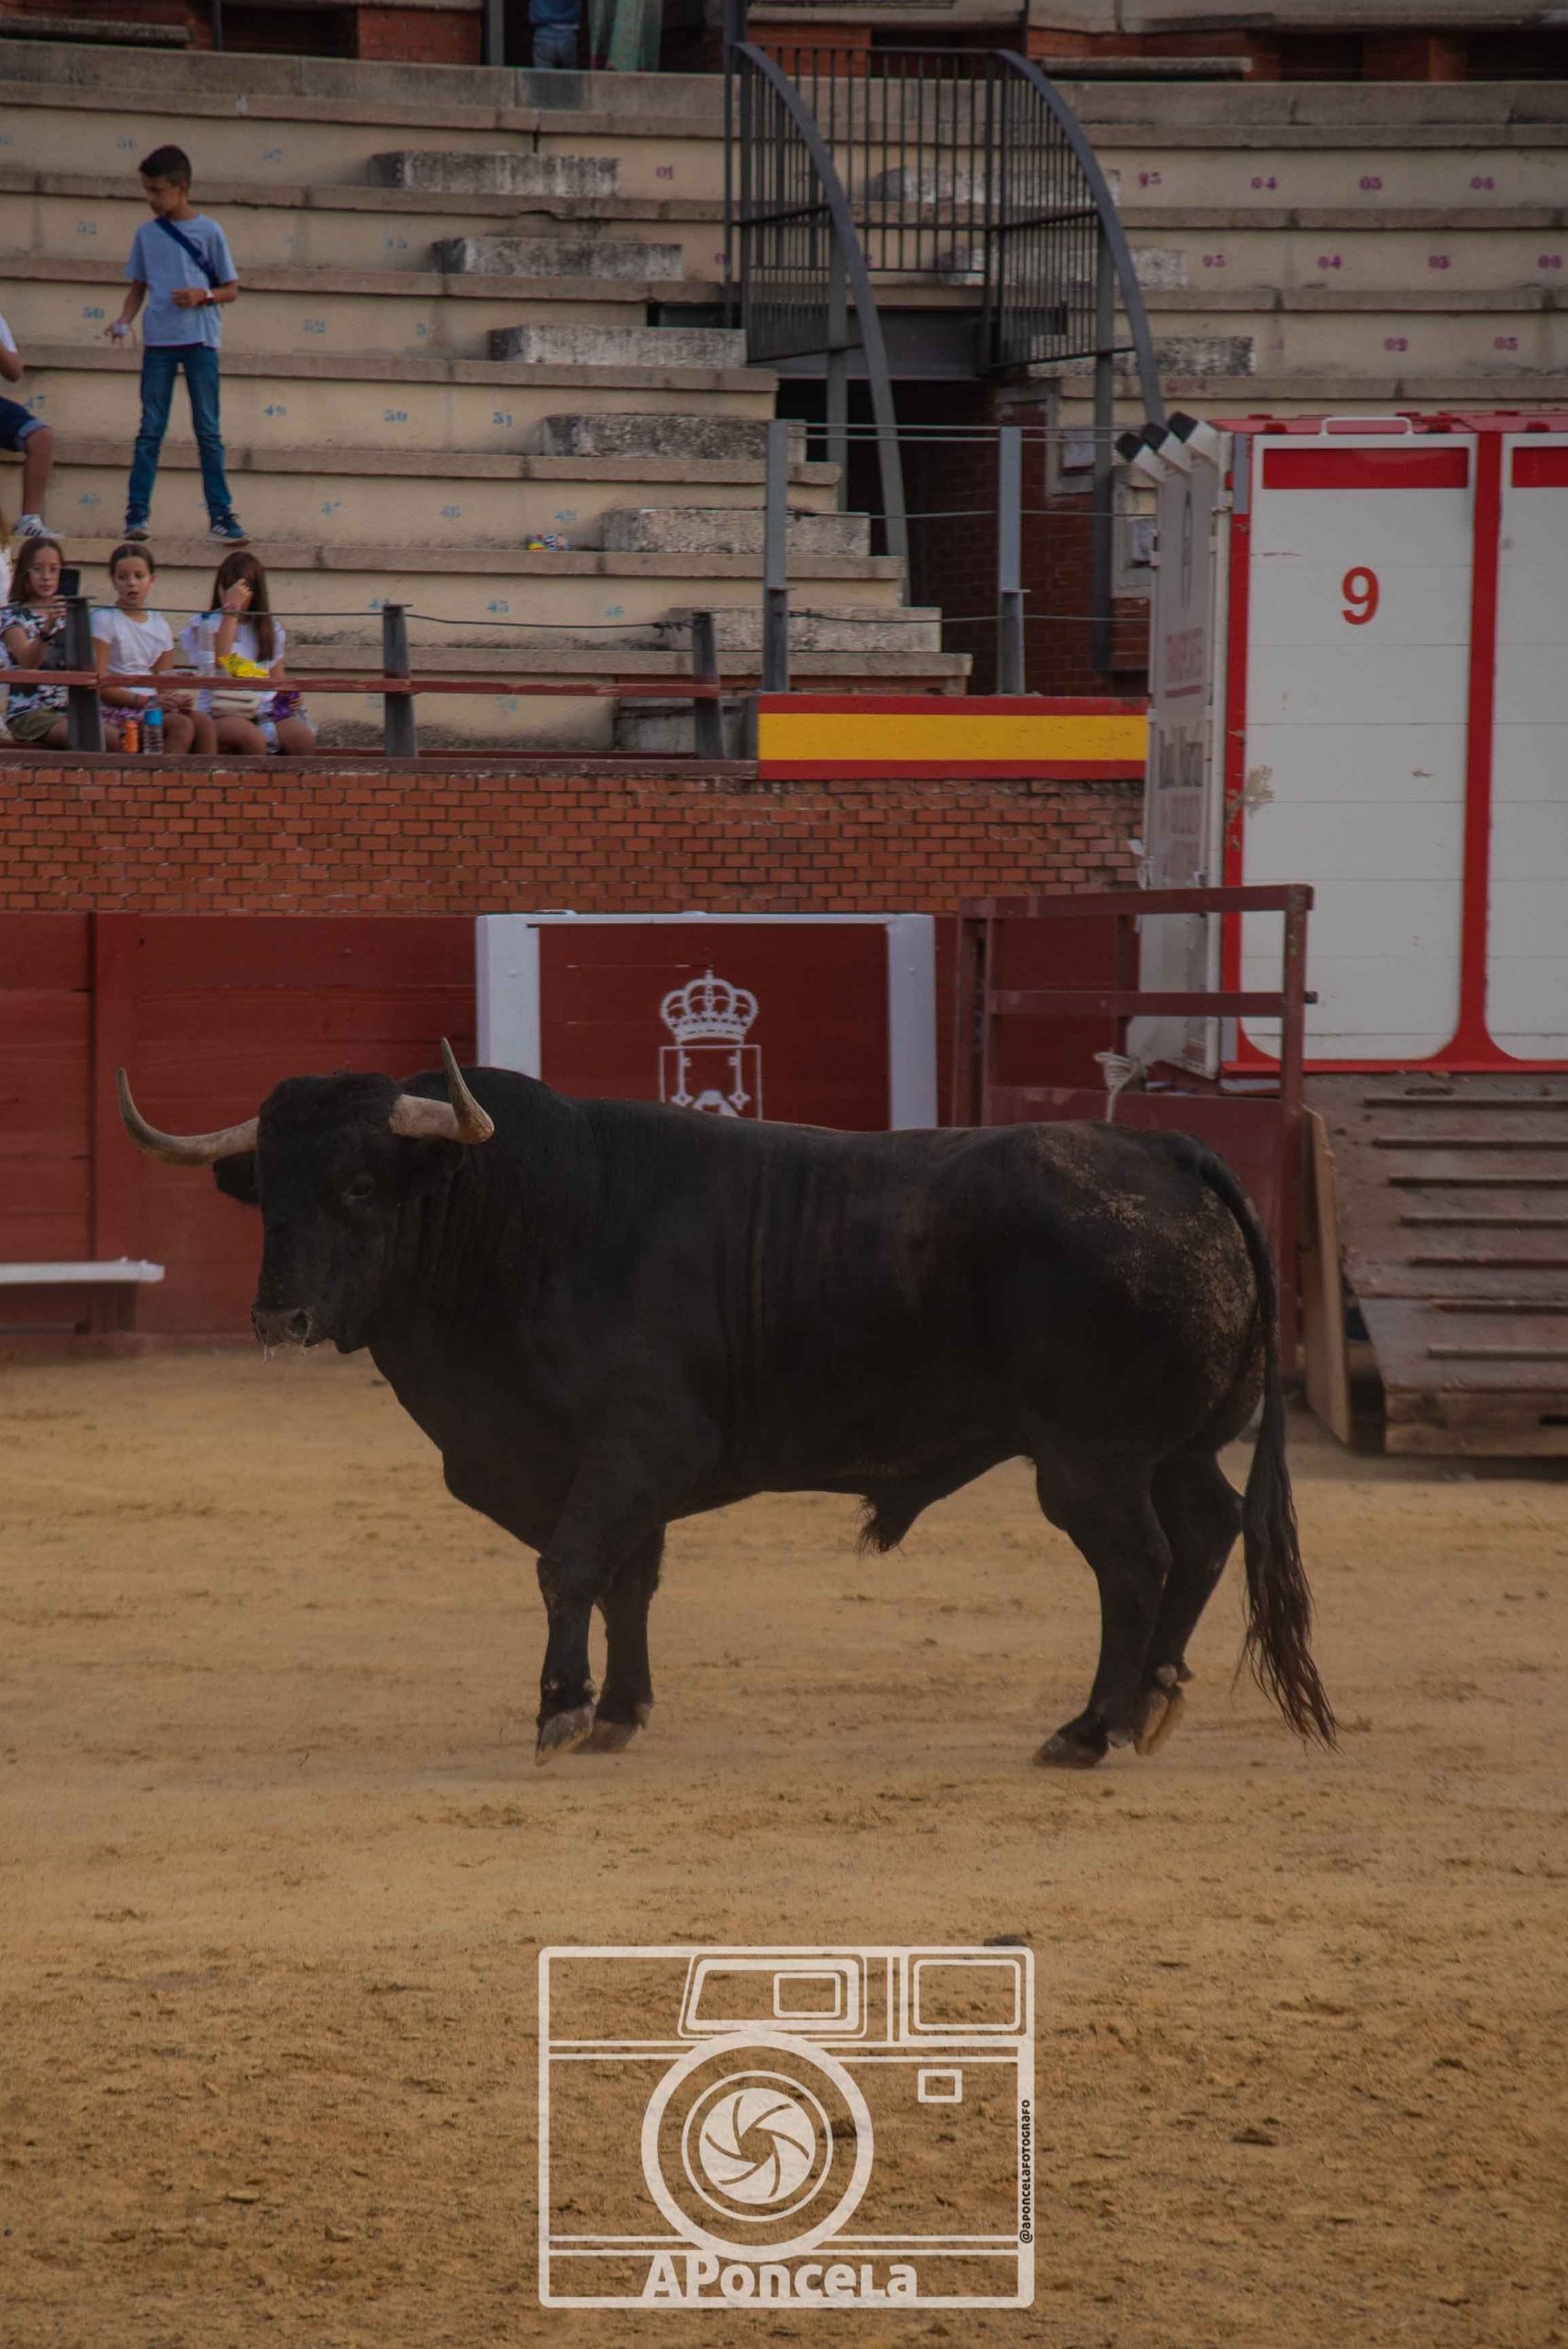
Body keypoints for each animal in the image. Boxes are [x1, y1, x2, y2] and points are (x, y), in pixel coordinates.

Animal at [118, 1045, 1334, 1769]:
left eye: (363, 1186)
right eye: (266, 1194)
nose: (277, 1315)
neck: (525, 1217)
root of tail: (1164, 1148)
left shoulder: (630, 1450)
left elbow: (569, 1567)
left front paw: (559, 1707)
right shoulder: (617, 1474)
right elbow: (626, 1580)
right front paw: (619, 1710)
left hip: (1087, 1460)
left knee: (1133, 1561)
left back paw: (1092, 1726)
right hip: (1170, 1447)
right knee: (1205, 1531)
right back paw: (1153, 1703)